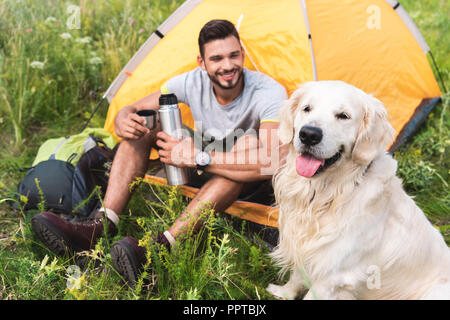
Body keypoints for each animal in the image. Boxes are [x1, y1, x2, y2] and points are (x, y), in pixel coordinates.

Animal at [268, 80, 448, 300]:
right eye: (307, 108)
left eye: (343, 115)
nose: (308, 134)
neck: (329, 193)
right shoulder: (305, 247)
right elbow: (296, 276)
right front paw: (283, 293)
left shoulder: (332, 276)